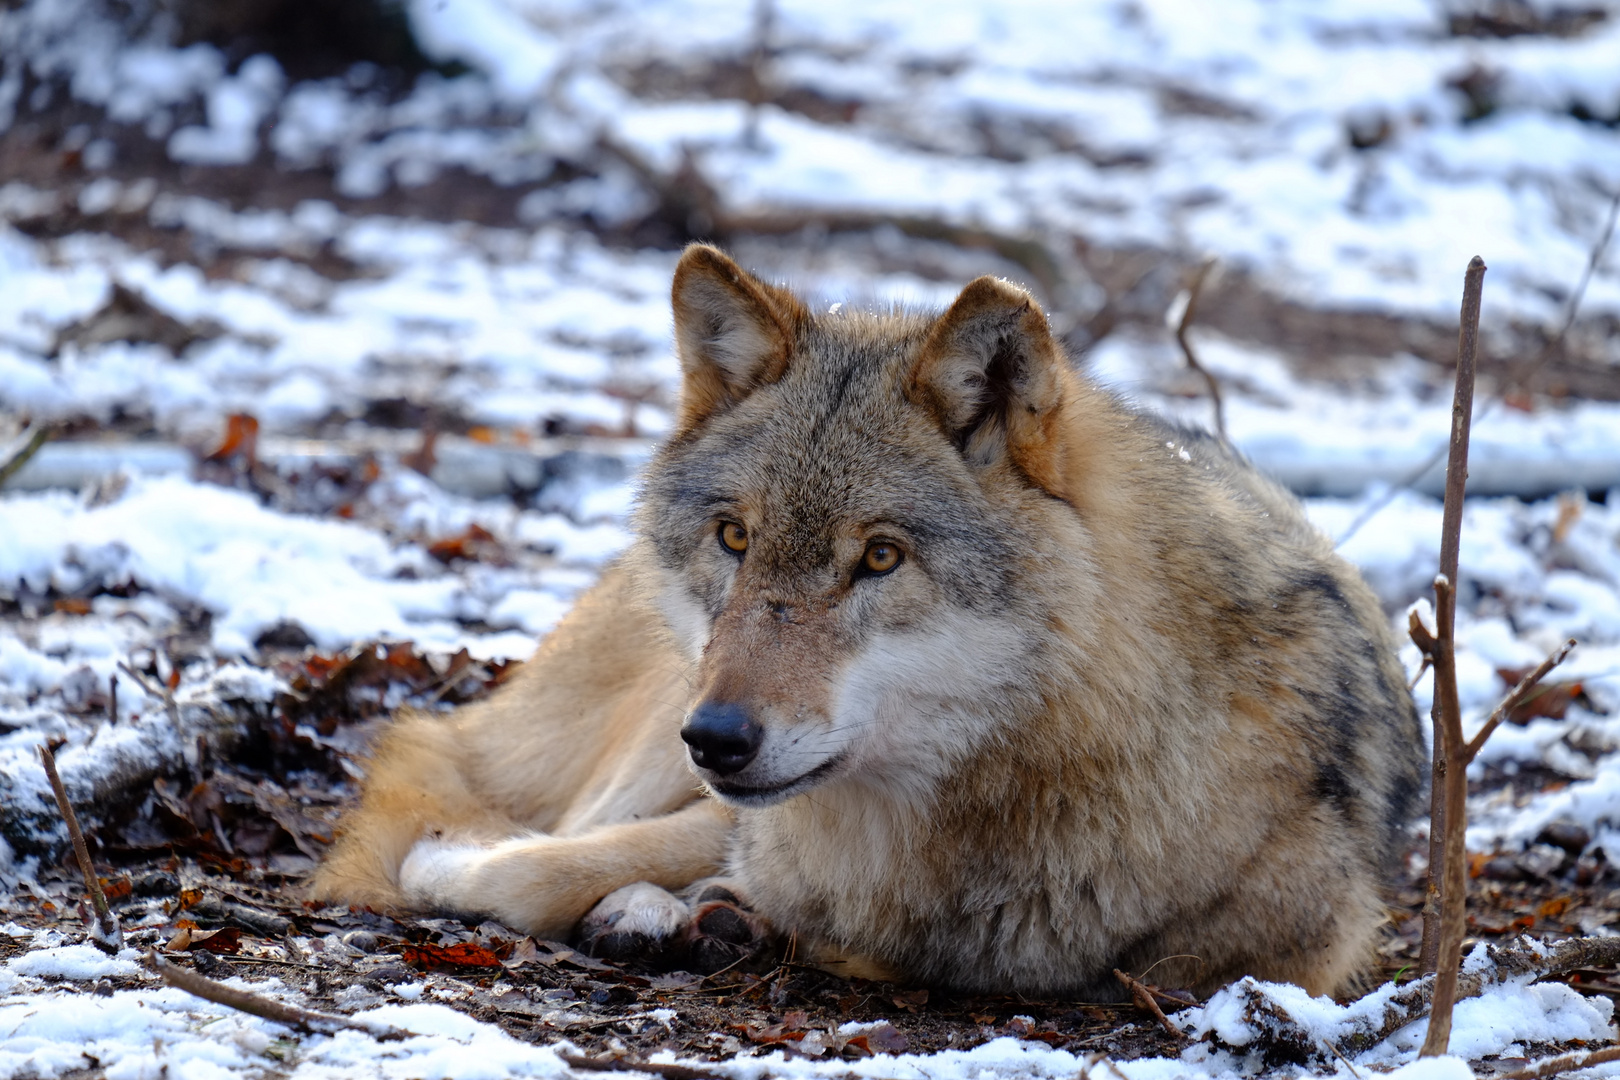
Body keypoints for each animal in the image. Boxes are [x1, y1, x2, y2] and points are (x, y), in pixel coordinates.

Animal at [309, 242, 1425, 997]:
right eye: (736, 538)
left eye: (879, 557)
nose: (718, 738)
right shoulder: (744, 810)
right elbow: (571, 857)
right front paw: (476, 861)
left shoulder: (1287, 947)